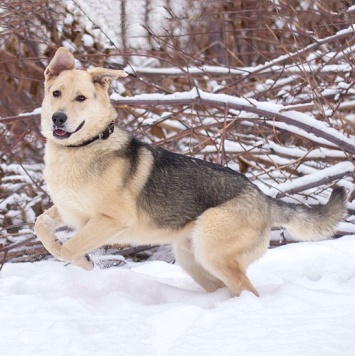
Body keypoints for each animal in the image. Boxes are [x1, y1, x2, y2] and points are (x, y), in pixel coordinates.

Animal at [34, 48, 350, 298]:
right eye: (56, 93)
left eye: (81, 98)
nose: (58, 118)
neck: (82, 148)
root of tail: (264, 198)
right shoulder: (69, 211)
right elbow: (41, 226)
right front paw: (68, 250)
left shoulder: (110, 221)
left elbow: (67, 249)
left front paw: (86, 261)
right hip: (193, 259)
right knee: (228, 288)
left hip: (212, 253)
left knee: (247, 289)